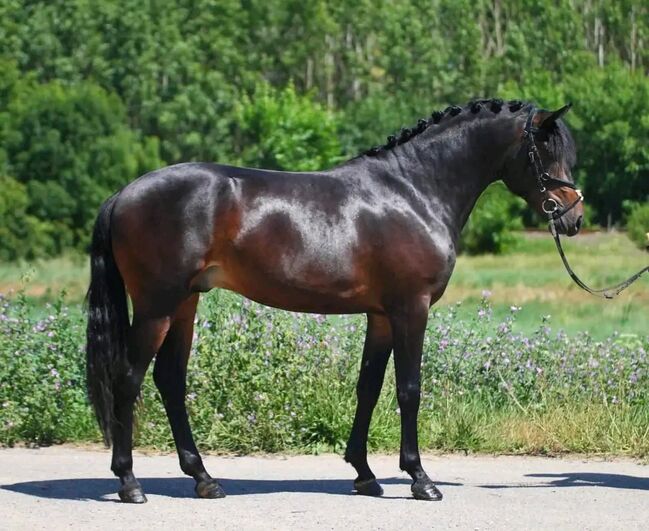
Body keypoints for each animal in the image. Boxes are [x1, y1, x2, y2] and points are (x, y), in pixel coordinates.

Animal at [85, 98, 584, 502]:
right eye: (546, 153)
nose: (573, 216)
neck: (413, 190)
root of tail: (122, 194)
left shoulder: (380, 315)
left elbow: (368, 387)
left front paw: (364, 474)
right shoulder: (411, 308)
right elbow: (409, 389)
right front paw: (420, 479)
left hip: (184, 304)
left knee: (169, 381)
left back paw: (204, 479)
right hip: (156, 307)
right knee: (128, 380)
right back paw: (129, 483)